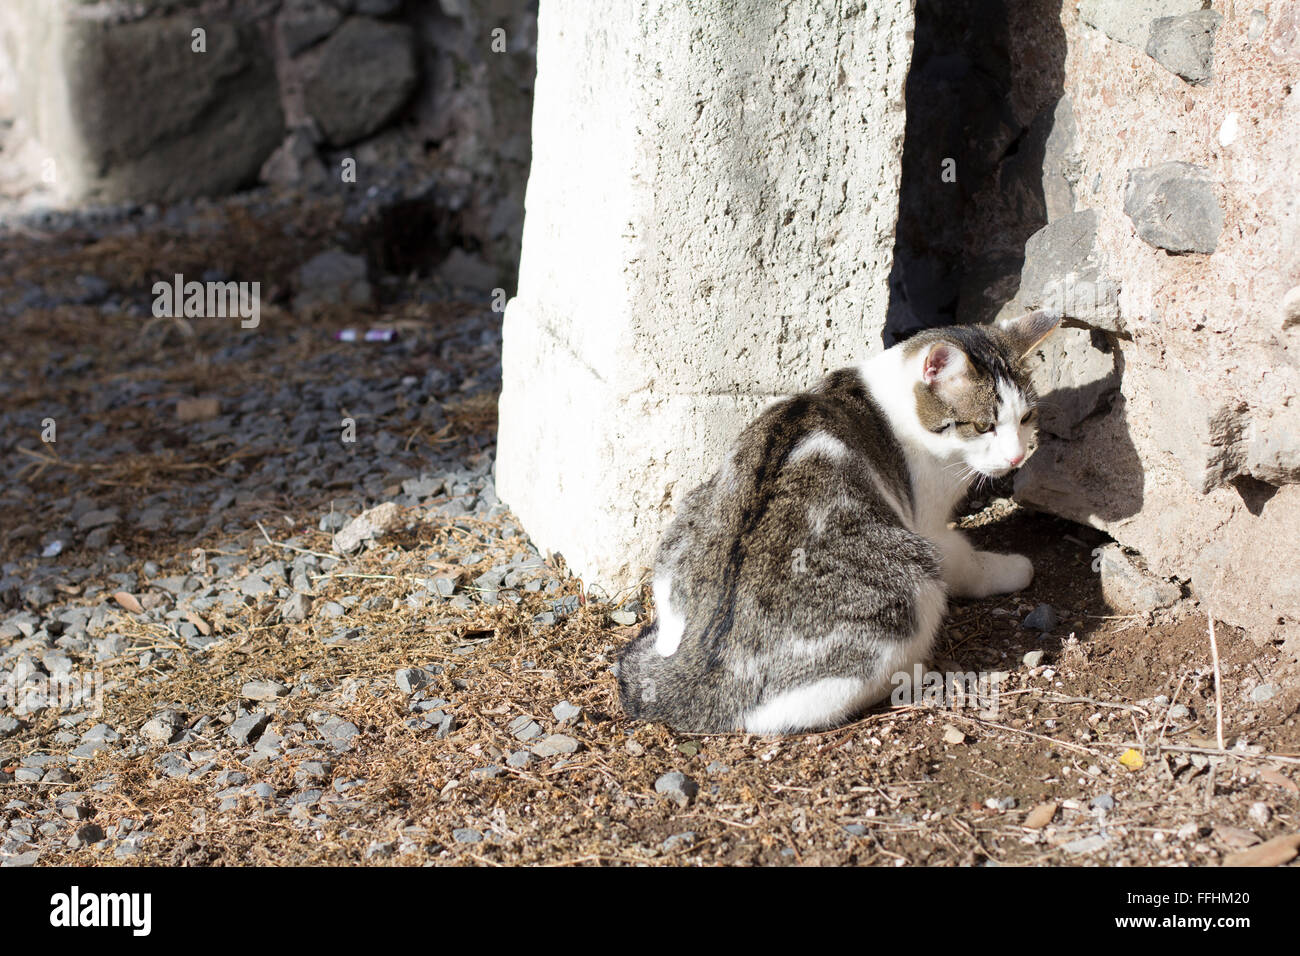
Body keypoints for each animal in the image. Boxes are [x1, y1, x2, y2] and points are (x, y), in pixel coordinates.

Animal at [613, 310, 1060, 738]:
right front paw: (1012, 568)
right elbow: (969, 562)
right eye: (984, 426)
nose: (1017, 457)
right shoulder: (931, 529)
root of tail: (696, 671)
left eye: (1027, 417)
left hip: (685, 524)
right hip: (913, 588)